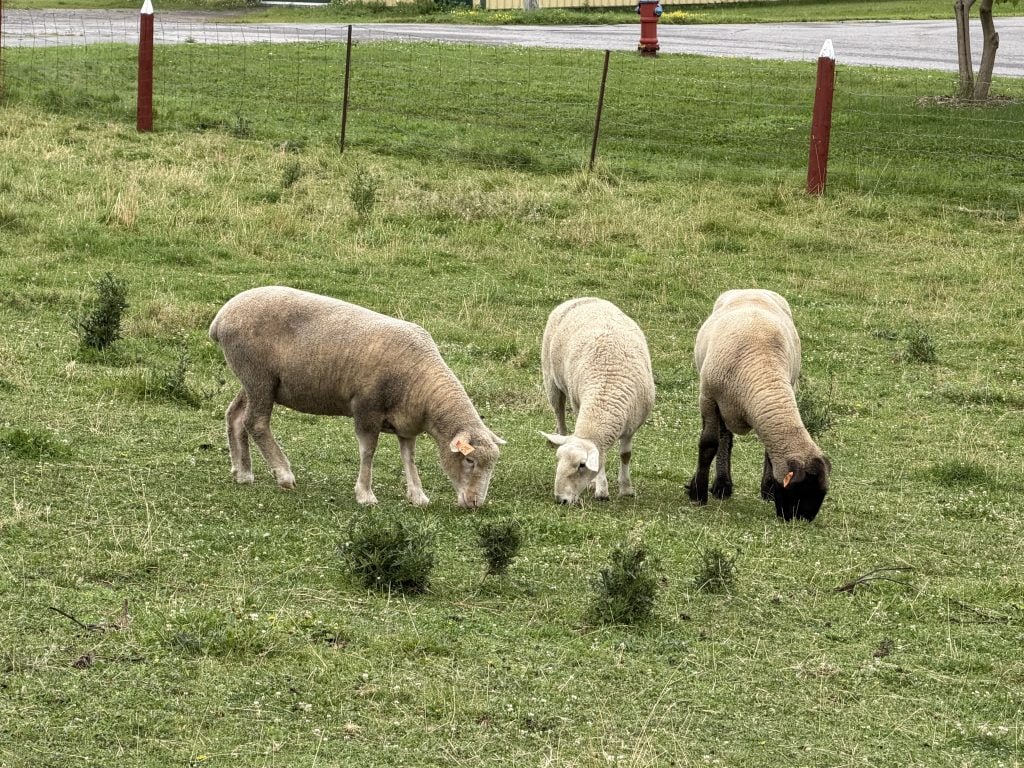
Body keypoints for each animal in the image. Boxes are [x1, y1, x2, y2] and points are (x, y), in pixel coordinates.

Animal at [208, 286, 505, 508]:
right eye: (469, 460)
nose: (475, 504)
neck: (422, 384)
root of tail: (221, 318)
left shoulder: (406, 423)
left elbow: (408, 457)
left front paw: (418, 495)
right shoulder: (366, 408)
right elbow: (368, 451)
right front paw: (365, 494)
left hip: (255, 382)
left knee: (235, 416)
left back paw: (243, 472)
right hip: (258, 377)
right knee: (256, 423)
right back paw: (283, 475)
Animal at [539, 297, 655, 505]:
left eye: (581, 465)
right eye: (558, 460)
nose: (560, 499)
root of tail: (582, 298)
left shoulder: (632, 425)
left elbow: (625, 455)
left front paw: (626, 488)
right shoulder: (579, 405)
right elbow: (602, 459)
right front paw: (601, 489)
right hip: (551, 381)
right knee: (559, 414)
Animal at [686, 288, 831, 521]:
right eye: (801, 490)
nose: (802, 520)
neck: (762, 368)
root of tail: (751, 289)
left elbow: (768, 450)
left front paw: (769, 488)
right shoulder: (708, 398)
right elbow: (708, 445)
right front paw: (698, 492)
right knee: (724, 438)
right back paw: (722, 486)